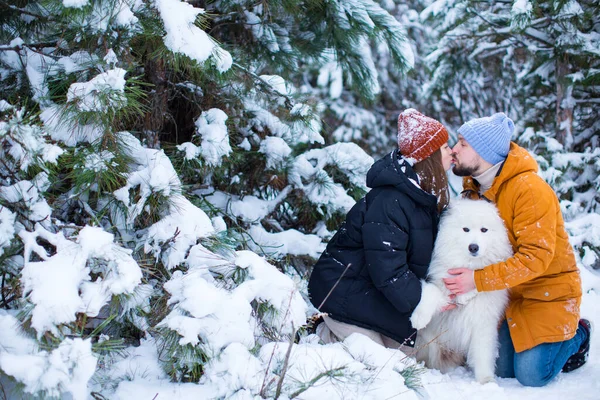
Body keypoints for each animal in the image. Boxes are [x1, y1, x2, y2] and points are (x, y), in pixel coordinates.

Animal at [410, 198, 512, 382]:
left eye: (484, 230)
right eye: (466, 229)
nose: (473, 247)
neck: (467, 264)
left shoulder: (483, 322)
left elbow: (483, 354)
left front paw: (486, 381)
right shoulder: (442, 292)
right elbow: (430, 293)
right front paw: (419, 318)